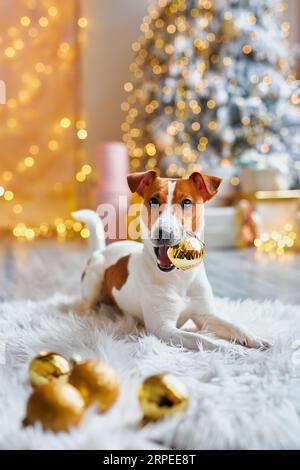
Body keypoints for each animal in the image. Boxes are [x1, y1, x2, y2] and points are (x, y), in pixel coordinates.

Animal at [73, 171, 270, 350]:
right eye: (153, 200)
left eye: (187, 202)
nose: (163, 233)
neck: (180, 277)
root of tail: (102, 250)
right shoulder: (163, 328)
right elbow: (202, 339)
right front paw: (230, 349)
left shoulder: (205, 316)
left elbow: (234, 325)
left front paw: (254, 338)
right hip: (94, 276)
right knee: (88, 302)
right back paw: (93, 312)